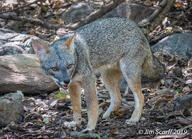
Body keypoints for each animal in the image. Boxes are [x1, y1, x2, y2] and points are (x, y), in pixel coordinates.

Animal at [32, 17, 164, 132]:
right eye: (54, 68)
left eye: (69, 66)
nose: (65, 81)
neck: (77, 55)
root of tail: (138, 28)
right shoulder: (73, 85)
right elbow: (76, 107)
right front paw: (76, 122)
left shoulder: (89, 80)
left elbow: (91, 107)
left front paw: (90, 127)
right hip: (106, 78)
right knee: (118, 98)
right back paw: (106, 116)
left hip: (128, 75)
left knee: (141, 97)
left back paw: (134, 119)